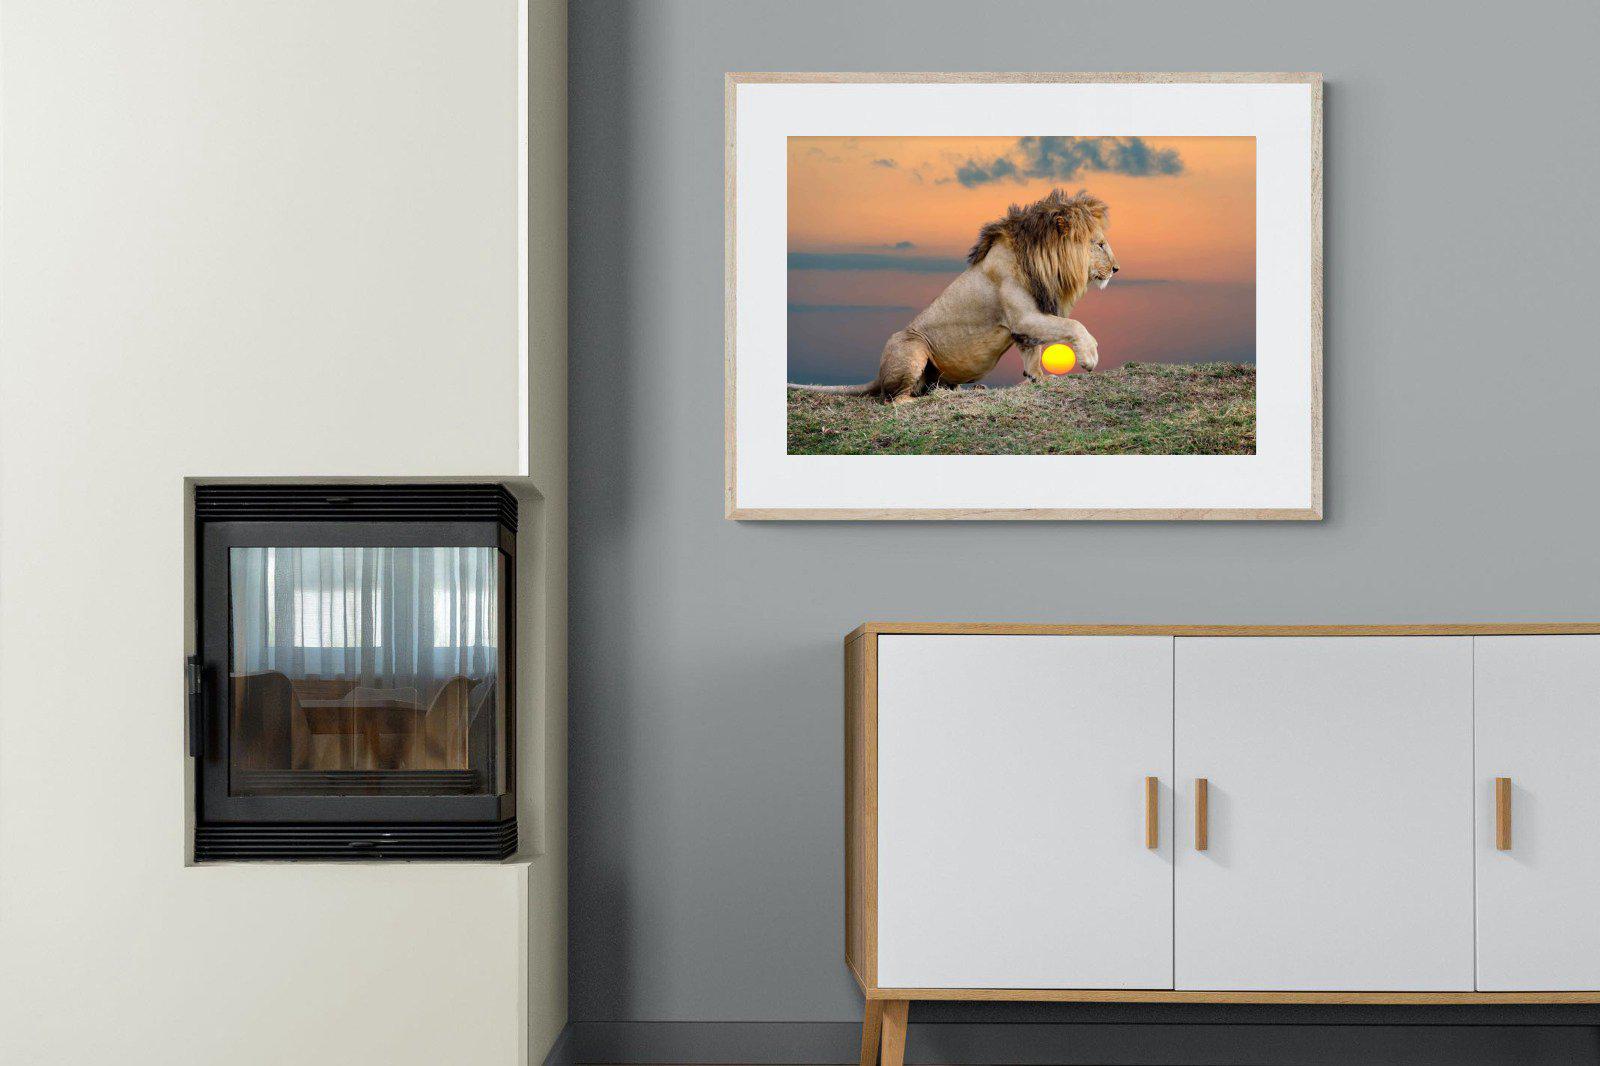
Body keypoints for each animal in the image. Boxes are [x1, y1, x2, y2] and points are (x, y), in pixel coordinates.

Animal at [790, 188, 1119, 403]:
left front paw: (1039, 378)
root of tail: (878, 374)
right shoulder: (1024, 316)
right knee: (893, 399)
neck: (1044, 262)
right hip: (912, 346)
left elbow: (1032, 351)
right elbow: (1073, 325)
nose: (1116, 269)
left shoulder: (1025, 323)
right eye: (1100, 244)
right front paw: (1089, 357)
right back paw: (923, 400)